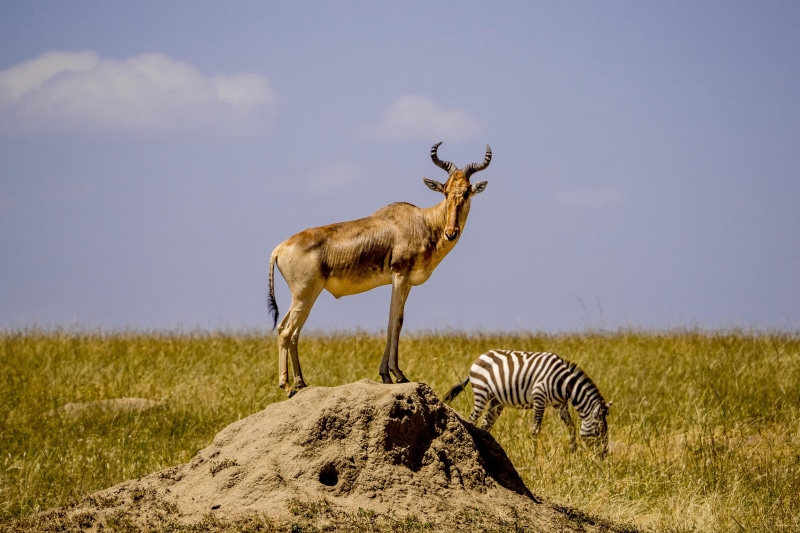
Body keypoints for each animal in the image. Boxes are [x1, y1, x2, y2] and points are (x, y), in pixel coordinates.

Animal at [268, 142, 492, 397]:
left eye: (466, 191)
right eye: (445, 190)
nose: (451, 232)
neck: (422, 221)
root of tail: (279, 249)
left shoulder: (407, 282)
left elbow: (393, 319)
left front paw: (385, 375)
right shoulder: (399, 275)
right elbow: (396, 320)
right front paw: (399, 374)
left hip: (306, 295)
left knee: (292, 331)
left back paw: (301, 383)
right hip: (304, 295)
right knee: (286, 330)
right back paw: (287, 385)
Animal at [444, 349, 612, 455]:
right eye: (599, 431)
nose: (604, 455)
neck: (564, 384)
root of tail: (482, 355)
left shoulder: (561, 404)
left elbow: (571, 426)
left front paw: (573, 452)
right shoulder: (539, 397)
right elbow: (535, 430)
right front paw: (534, 455)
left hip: (496, 400)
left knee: (486, 424)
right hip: (481, 392)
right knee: (472, 419)